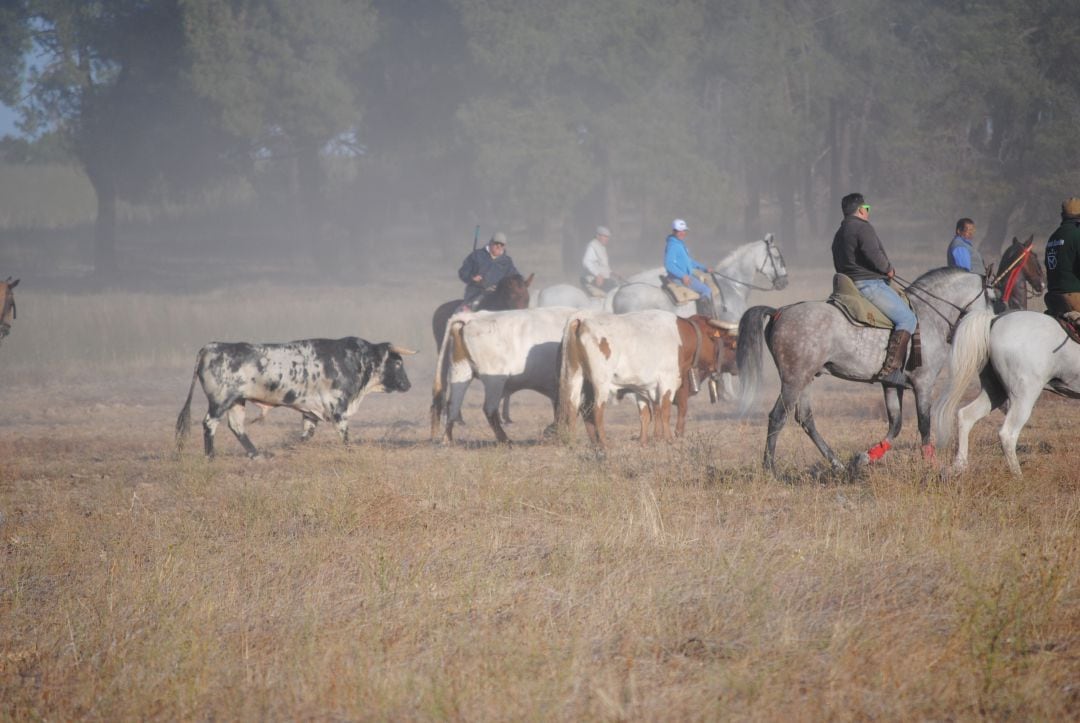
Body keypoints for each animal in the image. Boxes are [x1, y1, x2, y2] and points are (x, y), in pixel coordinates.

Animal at [174, 335, 414, 456]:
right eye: (398, 363)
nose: (408, 384)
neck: (355, 359)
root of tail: (211, 347)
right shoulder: (337, 406)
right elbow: (344, 433)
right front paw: (351, 451)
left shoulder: (311, 410)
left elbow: (307, 433)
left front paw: (291, 448)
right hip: (220, 401)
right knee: (209, 424)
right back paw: (210, 455)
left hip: (236, 401)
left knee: (236, 426)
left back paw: (256, 454)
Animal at [427, 302, 591, 440]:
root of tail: (472, 317)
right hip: (494, 380)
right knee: (489, 408)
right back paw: (505, 440)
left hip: (461, 371)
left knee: (453, 405)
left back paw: (447, 439)